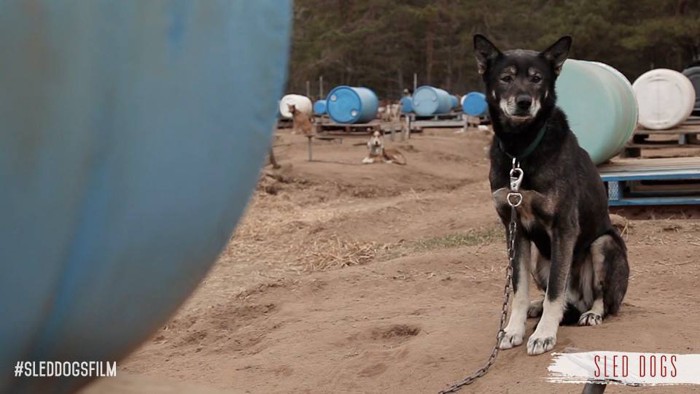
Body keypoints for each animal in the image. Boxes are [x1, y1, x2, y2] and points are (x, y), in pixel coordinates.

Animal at [476, 33, 628, 356]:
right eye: (506, 78)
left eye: (537, 79)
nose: (523, 102)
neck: (520, 150)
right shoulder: (514, 230)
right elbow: (519, 289)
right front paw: (514, 329)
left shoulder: (564, 228)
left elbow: (556, 291)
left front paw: (544, 334)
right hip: (539, 260)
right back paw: (538, 307)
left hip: (603, 244)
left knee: (603, 300)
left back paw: (591, 313)